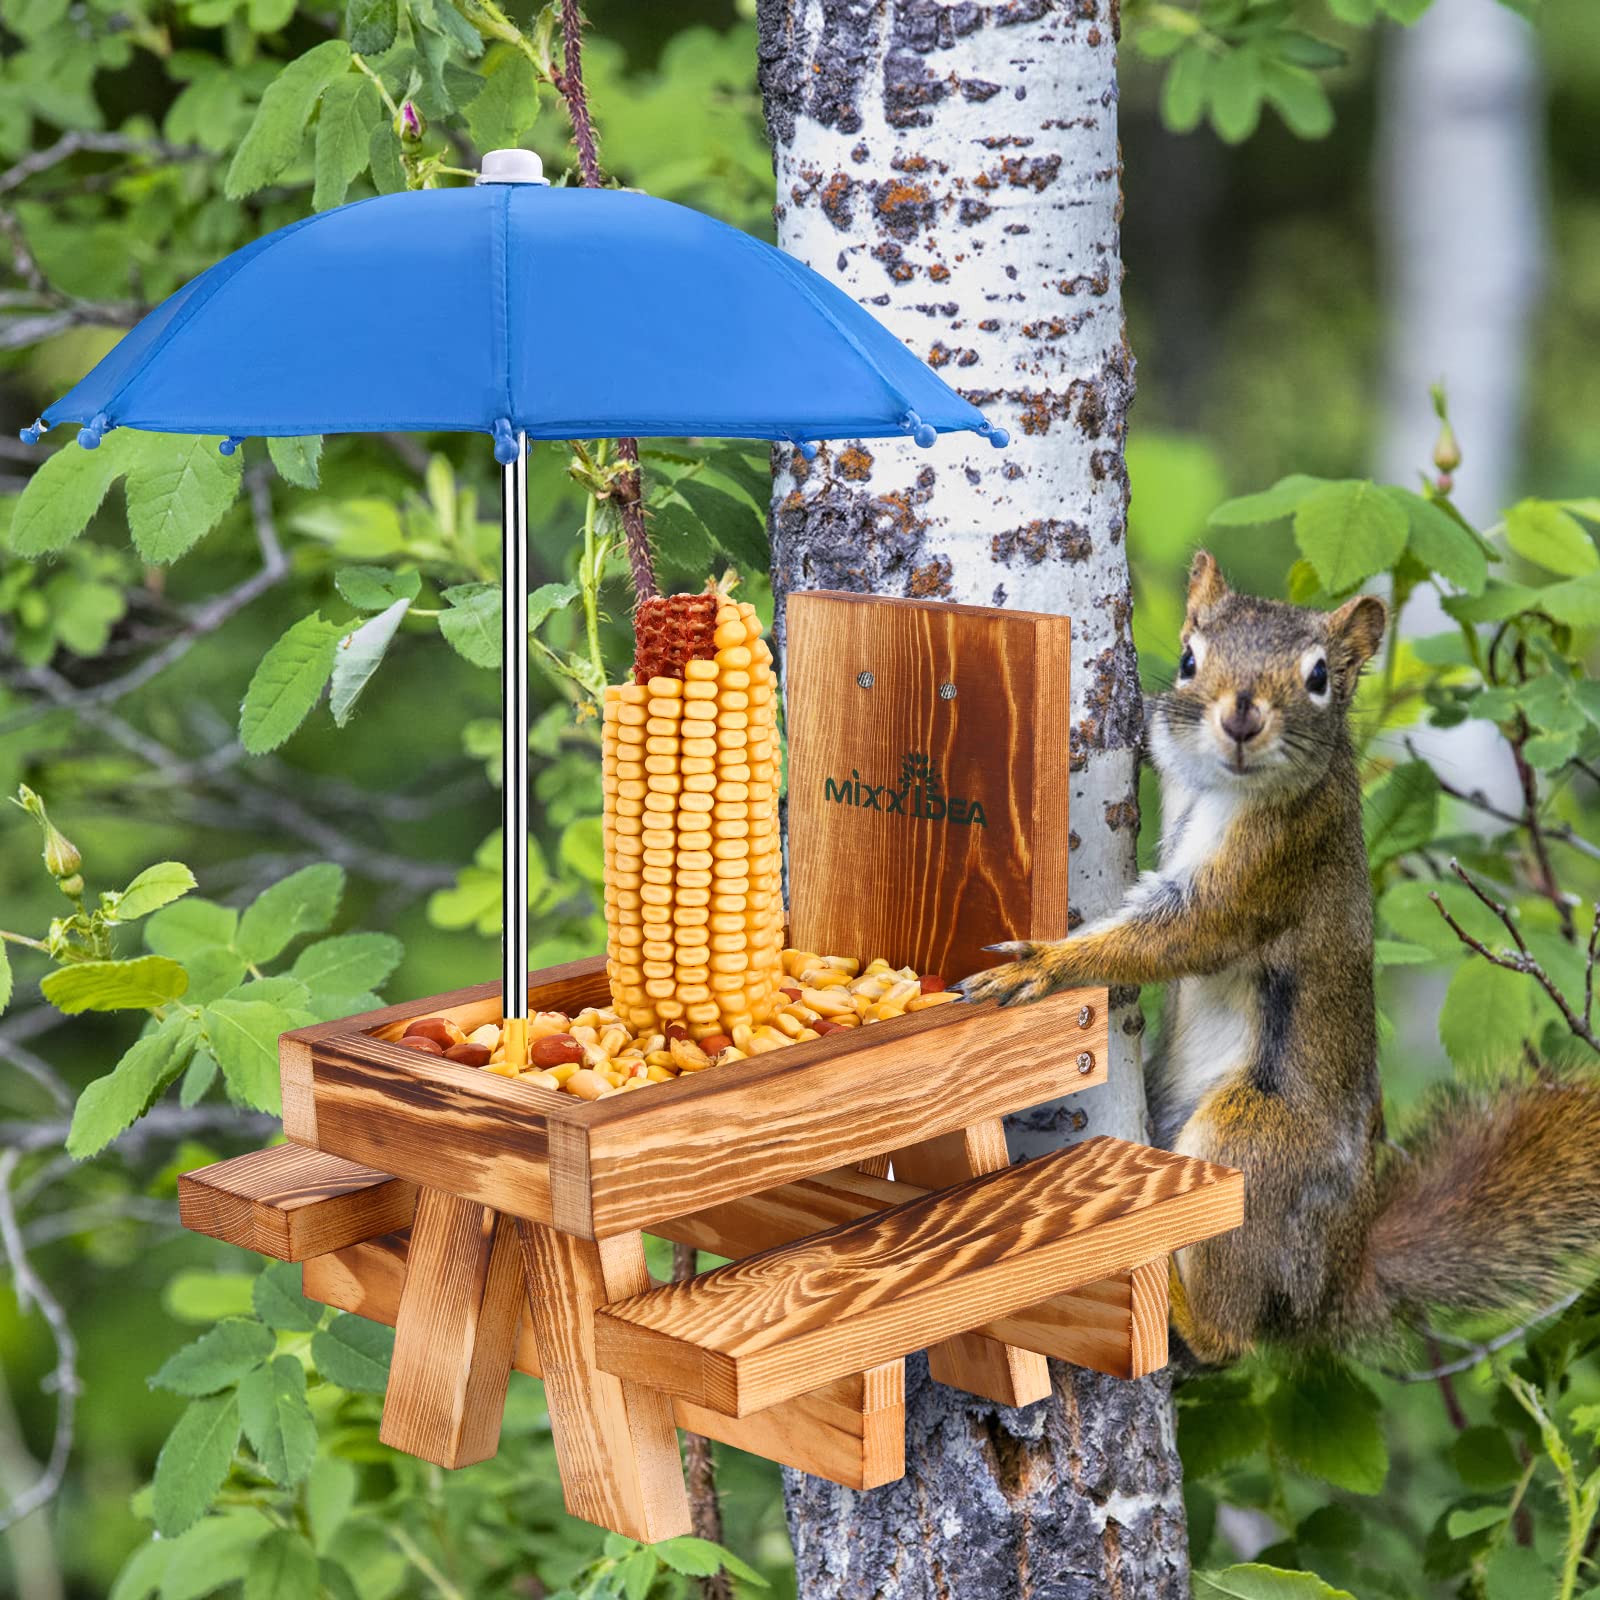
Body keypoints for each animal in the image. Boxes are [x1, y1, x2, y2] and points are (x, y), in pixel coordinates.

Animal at [959, 550, 1600, 1366]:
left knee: (1233, 1338)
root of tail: (1333, 1283)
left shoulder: (1275, 860)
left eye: (1320, 676)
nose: (1241, 716)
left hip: (1256, 1141)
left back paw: (1183, 1305)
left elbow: (1185, 933)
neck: (1221, 785)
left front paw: (1043, 966)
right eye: (1190, 658)